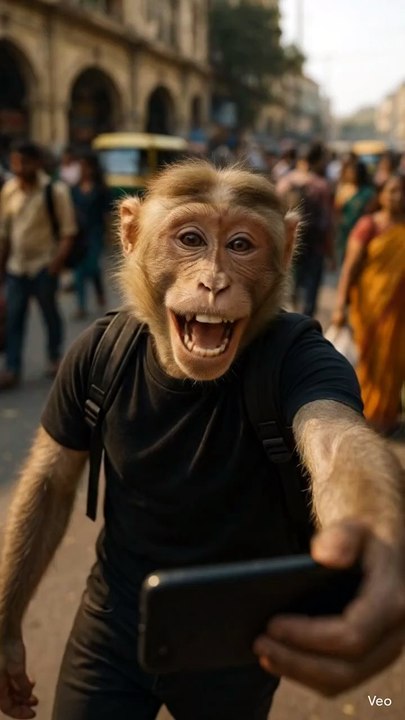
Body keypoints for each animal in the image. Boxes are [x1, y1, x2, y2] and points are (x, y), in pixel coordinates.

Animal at [0, 159, 404, 720]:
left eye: (240, 245)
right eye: (191, 239)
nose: (213, 283)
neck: (180, 376)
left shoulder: (309, 357)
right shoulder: (83, 356)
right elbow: (52, 481)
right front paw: (6, 645)